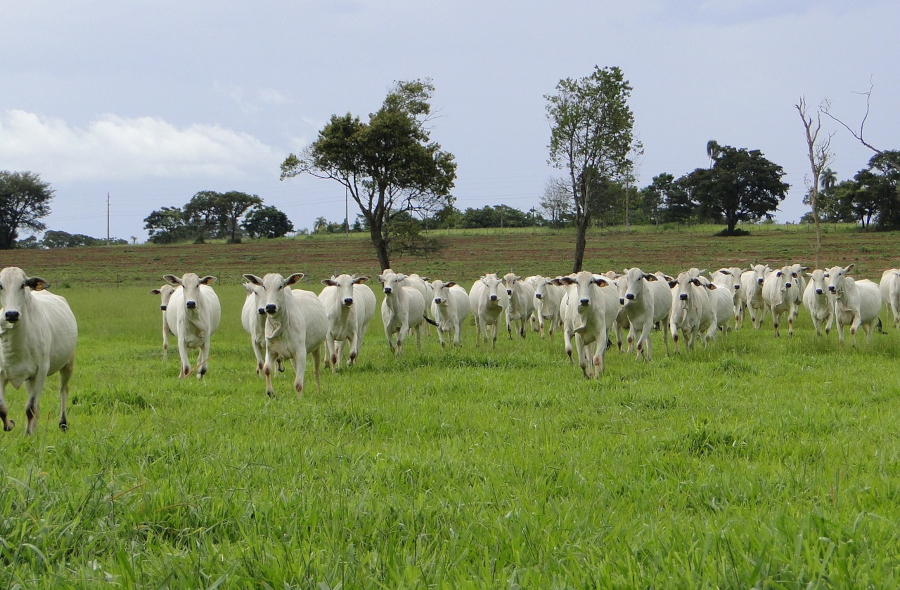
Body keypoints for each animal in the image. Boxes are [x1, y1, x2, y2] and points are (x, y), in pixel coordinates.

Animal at [0, 268, 77, 434]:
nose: (11, 314)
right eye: (0, 285)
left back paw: (63, 423)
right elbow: (2, 408)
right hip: (30, 380)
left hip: (68, 364)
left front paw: (28, 434)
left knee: (63, 390)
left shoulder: (41, 371)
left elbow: (30, 408)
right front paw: (11, 425)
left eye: (23, 284)